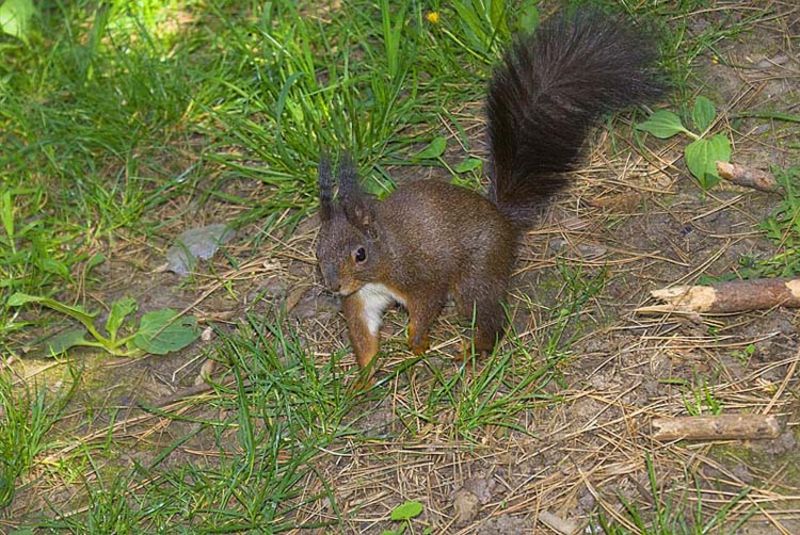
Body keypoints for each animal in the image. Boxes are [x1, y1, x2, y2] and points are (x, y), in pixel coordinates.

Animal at [315, 9, 663, 374]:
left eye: (360, 254)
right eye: (318, 253)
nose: (333, 285)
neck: (378, 271)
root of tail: (502, 218)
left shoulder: (420, 276)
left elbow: (427, 306)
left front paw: (416, 341)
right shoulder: (361, 300)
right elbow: (365, 337)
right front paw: (364, 376)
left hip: (477, 272)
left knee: (488, 316)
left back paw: (476, 349)